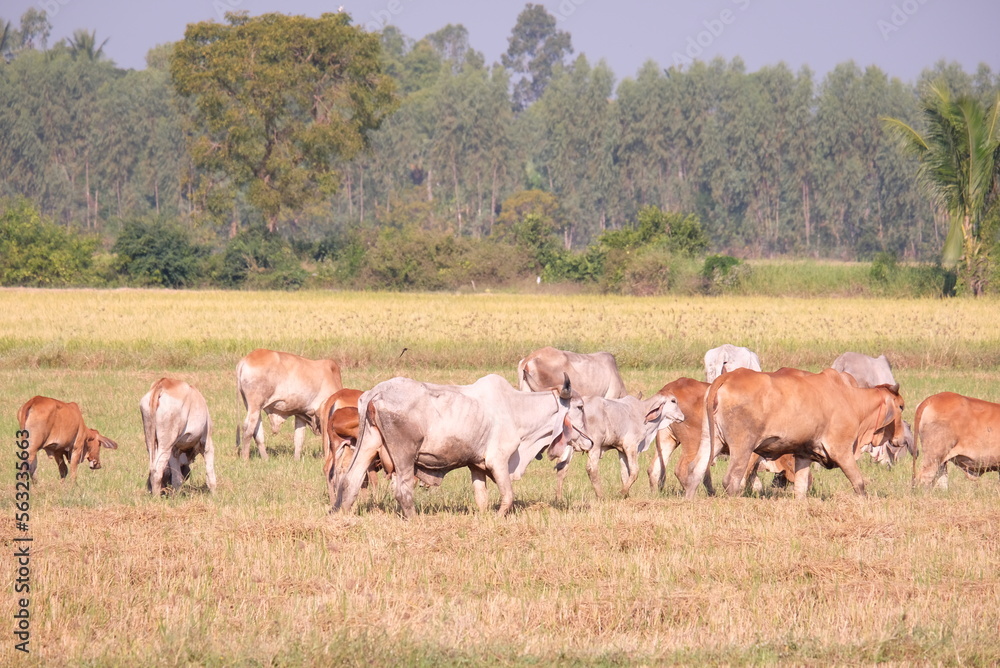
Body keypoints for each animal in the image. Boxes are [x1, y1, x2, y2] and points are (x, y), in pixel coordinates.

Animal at [334, 374, 593, 518]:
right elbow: (508, 496)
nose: (589, 442)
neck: (516, 409)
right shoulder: (498, 461)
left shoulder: (476, 465)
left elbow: (481, 498)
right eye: (580, 407)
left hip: (368, 443)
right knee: (402, 489)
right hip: (404, 454)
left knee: (350, 480)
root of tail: (376, 392)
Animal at [689, 367, 906, 500]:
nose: (902, 440)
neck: (851, 399)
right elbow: (859, 482)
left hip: (711, 439)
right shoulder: (841, 450)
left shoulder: (803, 454)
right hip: (743, 446)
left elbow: (801, 488)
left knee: (695, 470)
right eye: (902, 406)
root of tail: (728, 376)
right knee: (732, 479)